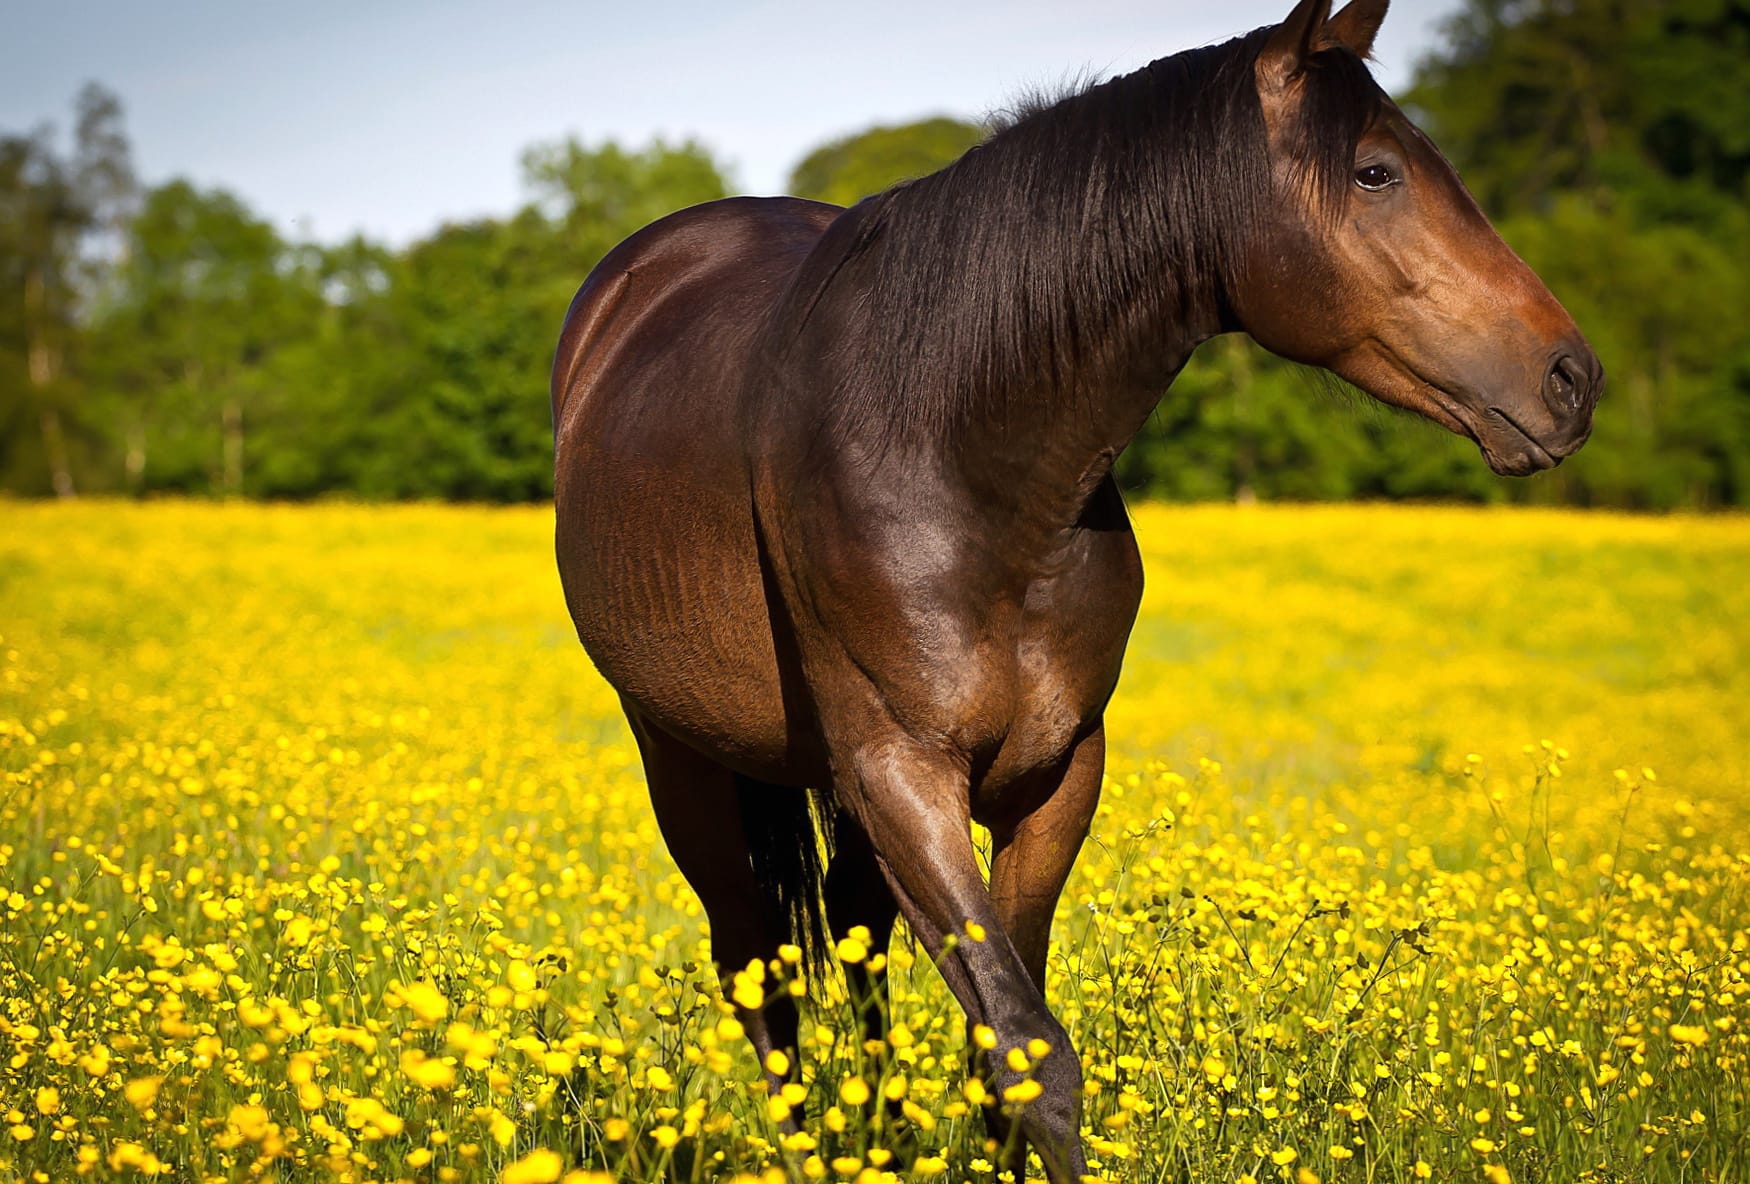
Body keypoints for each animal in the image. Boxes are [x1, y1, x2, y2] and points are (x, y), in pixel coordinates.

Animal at [546, 2, 1603, 1175]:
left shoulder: (1055, 772)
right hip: (680, 752)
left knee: (855, 942)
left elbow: (997, 1042)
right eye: (1375, 172)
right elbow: (1028, 1050)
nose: (1571, 379)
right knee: (753, 958)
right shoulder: (902, 772)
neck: (962, 457)